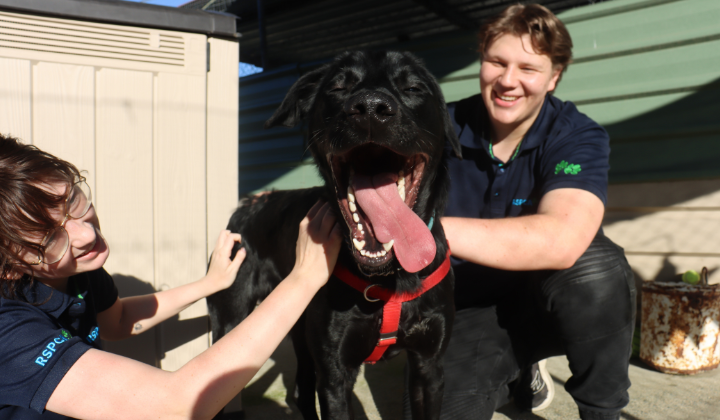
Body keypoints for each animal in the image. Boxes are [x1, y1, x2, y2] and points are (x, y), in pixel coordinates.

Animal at [210, 50, 462, 418]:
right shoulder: (335, 375)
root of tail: (245, 206)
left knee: (301, 389)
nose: (371, 108)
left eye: (414, 87)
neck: (390, 277)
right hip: (231, 322)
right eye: (338, 87)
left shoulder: (429, 368)